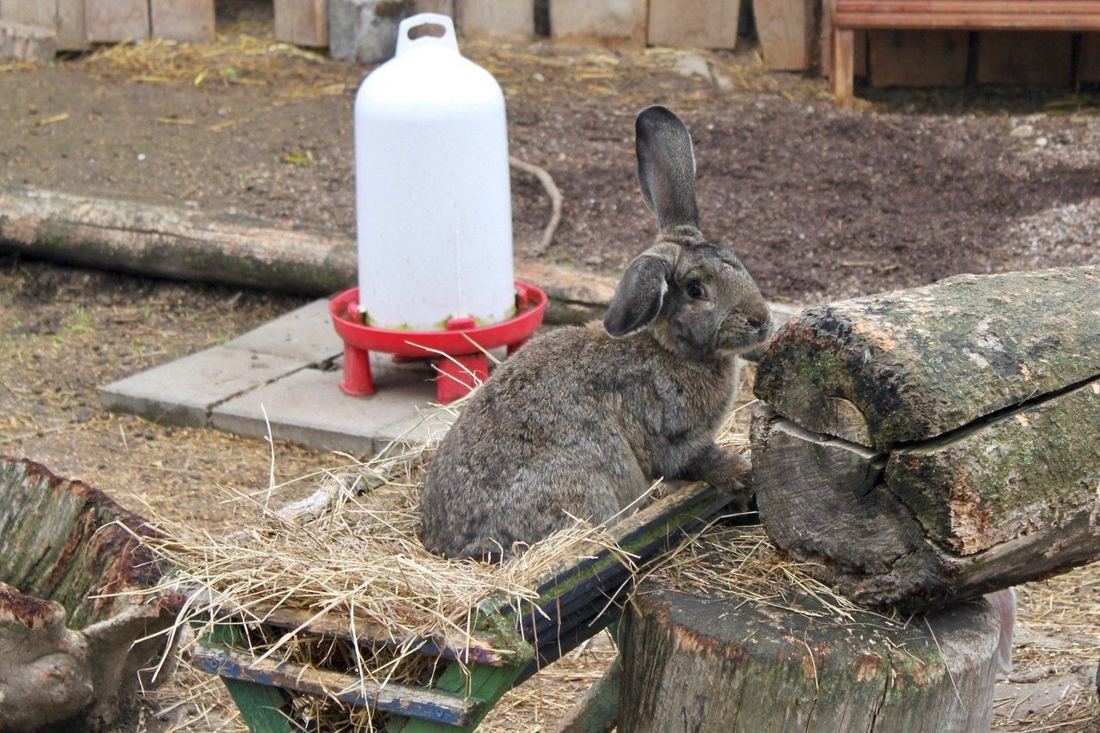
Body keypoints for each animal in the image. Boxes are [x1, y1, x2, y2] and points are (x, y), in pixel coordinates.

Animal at [419, 106, 771, 560]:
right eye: (696, 290)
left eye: (738, 263)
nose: (762, 321)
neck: (669, 348)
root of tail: (449, 546)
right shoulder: (670, 432)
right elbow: (695, 460)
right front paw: (741, 473)